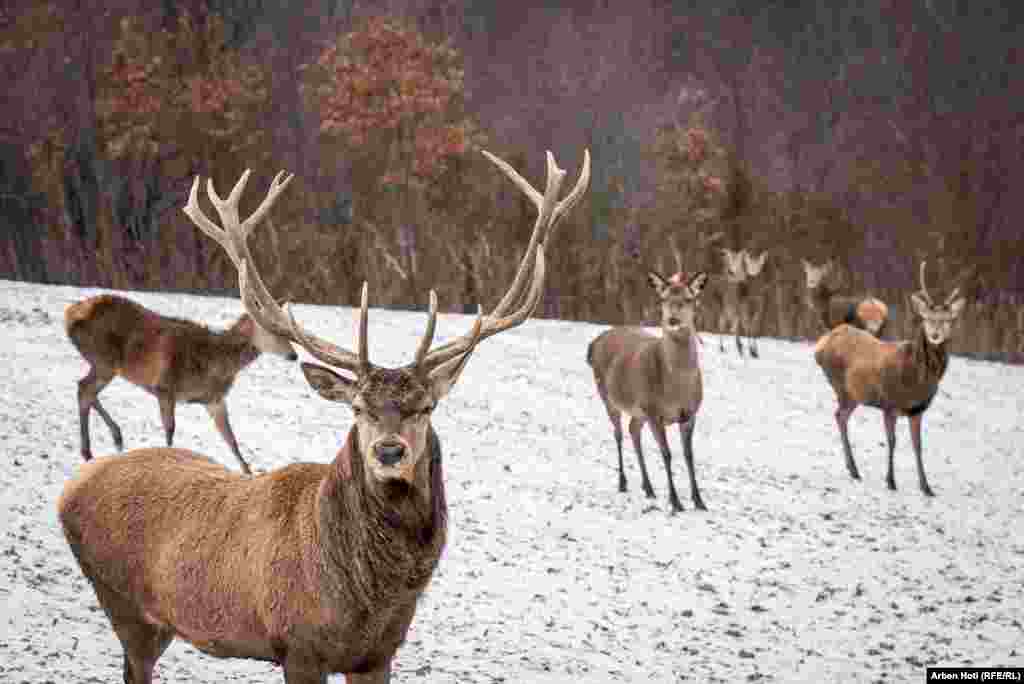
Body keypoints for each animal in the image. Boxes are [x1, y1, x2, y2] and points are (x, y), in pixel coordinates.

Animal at [64, 290, 296, 473]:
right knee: (85, 389)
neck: (215, 363)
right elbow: (170, 431)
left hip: (105, 365)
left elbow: (231, 439)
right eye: (273, 328)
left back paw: (113, 439)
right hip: (104, 360)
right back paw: (91, 451)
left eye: (287, 329)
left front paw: (249, 473)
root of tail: (69, 315)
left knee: (85, 389)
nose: (294, 355)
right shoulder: (164, 387)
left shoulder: (214, 399)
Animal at [589, 266, 708, 511]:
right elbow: (667, 454)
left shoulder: (690, 413)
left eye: (688, 299)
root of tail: (594, 343)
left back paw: (649, 487)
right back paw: (623, 482)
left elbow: (689, 455)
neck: (675, 390)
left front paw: (699, 501)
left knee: (633, 430)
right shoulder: (654, 412)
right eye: (663, 298)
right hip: (608, 397)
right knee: (618, 433)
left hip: (639, 410)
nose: (672, 319)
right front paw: (675, 501)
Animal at [811, 262, 962, 497]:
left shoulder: (917, 409)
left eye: (948, 321)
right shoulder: (889, 404)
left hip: (855, 394)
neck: (916, 378)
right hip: (844, 389)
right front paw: (891, 481)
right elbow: (892, 441)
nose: (935, 335)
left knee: (841, 416)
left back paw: (853, 469)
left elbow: (918, 445)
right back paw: (854, 469)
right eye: (926, 318)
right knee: (840, 415)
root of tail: (821, 345)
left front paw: (926, 487)